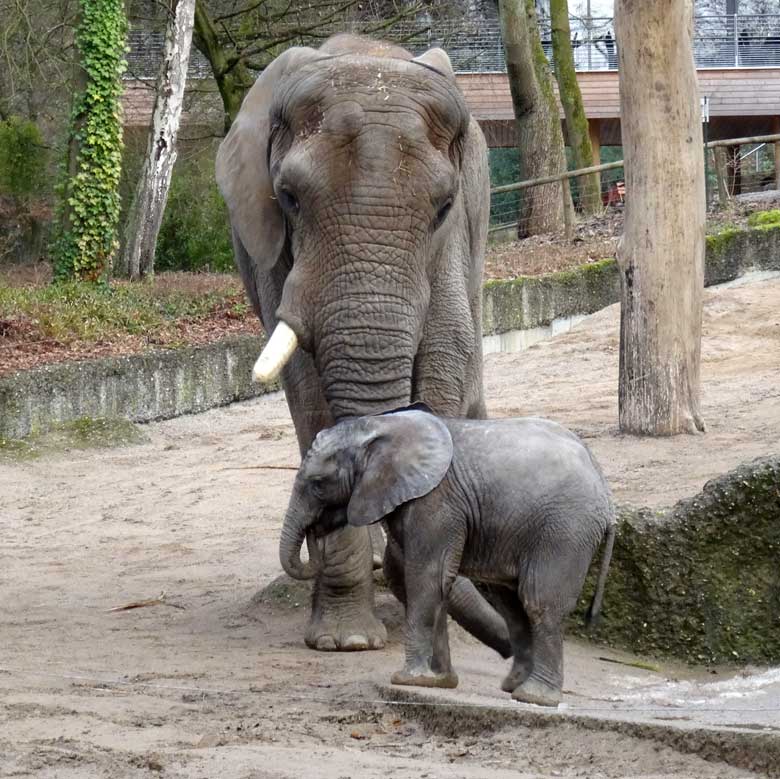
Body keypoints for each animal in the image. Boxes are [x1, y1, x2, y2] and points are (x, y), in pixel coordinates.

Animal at [215, 38, 506, 660]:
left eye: (444, 205)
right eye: (289, 198)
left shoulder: (452, 246)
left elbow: (444, 363)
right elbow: (309, 394)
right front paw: (346, 640)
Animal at [280, 408, 616, 708]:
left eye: (318, 484)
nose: (316, 529)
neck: (380, 424)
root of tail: (606, 490)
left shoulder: (436, 502)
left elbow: (425, 579)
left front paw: (408, 679)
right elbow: (433, 584)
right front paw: (437, 682)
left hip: (565, 530)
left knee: (538, 601)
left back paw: (534, 697)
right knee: (512, 605)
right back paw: (513, 686)